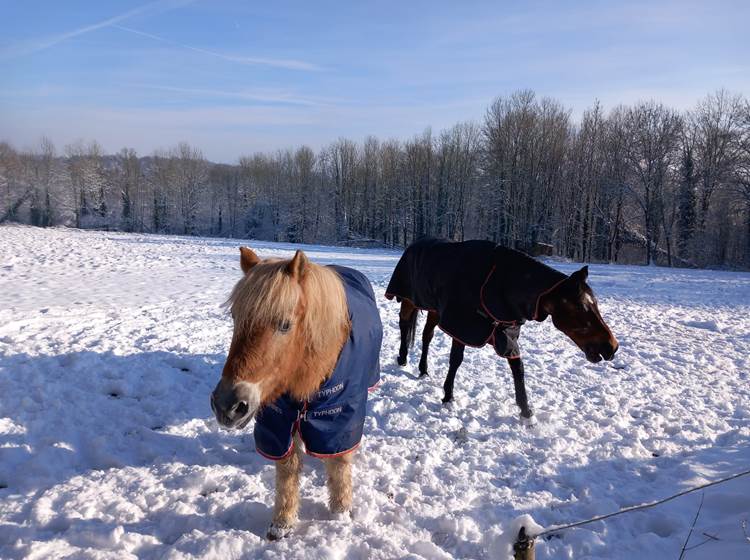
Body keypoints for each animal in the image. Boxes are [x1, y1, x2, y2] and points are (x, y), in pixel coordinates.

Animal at [214, 247, 384, 540]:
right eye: (235, 317)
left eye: (284, 325)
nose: (227, 405)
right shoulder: (279, 418)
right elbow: (288, 468)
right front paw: (282, 522)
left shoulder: (339, 416)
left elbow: (339, 463)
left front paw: (340, 511)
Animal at [384, 237, 620, 420]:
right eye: (581, 307)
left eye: (595, 304)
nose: (612, 346)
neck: (497, 282)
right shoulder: (460, 326)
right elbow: (455, 360)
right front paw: (448, 397)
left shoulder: (506, 334)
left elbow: (518, 368)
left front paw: (526, 412)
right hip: (409, 300)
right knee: (404, 324)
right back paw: (402, 358)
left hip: (434, 309)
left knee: (427, 335)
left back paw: (423, 370)